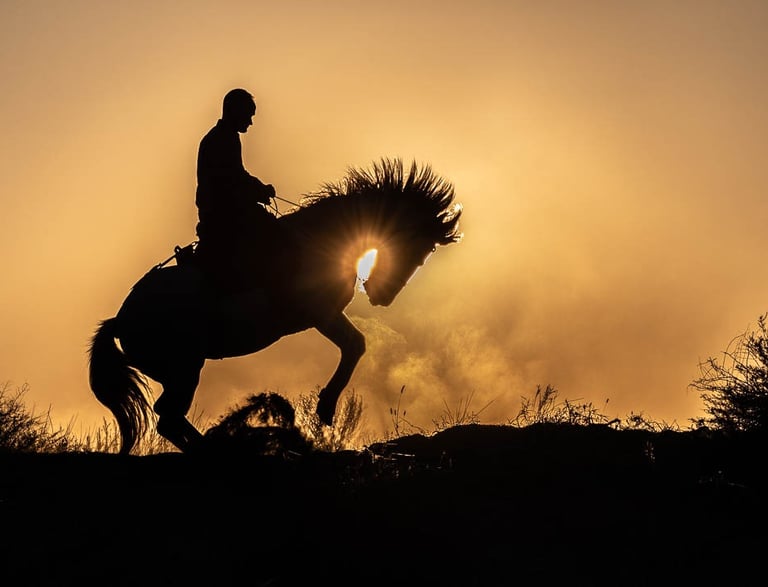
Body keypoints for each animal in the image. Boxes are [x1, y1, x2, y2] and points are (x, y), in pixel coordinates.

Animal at [88, 158, 463, 455]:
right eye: (422, 249)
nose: (382, 297)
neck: (322, 239)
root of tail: (121, 320)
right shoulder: (320, 314)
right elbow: (356, 345)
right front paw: (325, 406)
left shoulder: (326, 315)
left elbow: (354, 345)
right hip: (185, 368)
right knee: (168, 418)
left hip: (177, 371)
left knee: (169, 417)